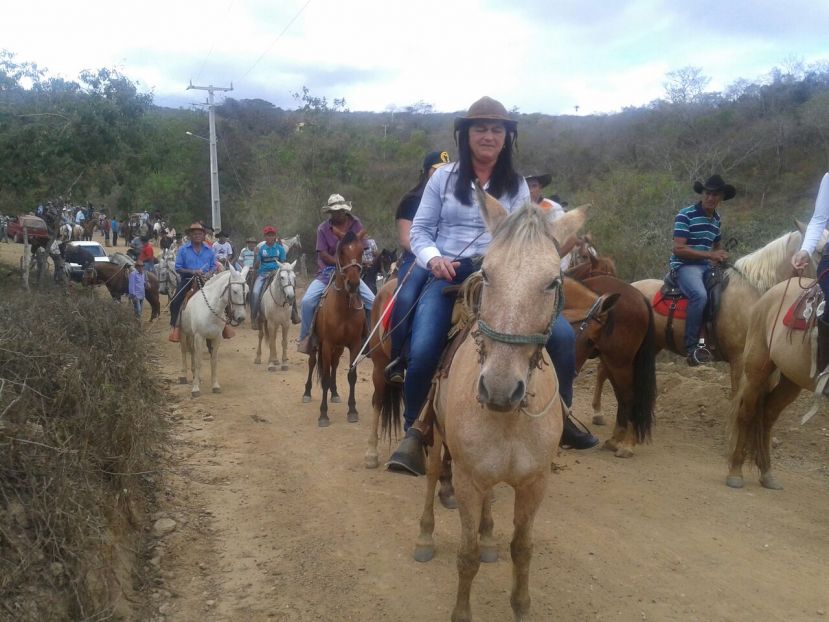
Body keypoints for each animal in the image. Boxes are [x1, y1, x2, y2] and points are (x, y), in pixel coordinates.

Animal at [178, 266, 249, 398]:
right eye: (235, 291)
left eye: (247, 292)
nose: (241, 317)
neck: (210, 309)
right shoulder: (199, 336)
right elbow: (199, 361)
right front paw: (195, 389)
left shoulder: (216, 337)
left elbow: (214, 361)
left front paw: (215, 386)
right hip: (183, 333)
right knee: (184, 351)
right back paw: (184, 376)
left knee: (192, 351)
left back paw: (196, 376)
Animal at [302, 229, 368, 428]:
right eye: (341, 251)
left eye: (362, 251)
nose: (353, 284)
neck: (344, 308)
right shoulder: (327, 344)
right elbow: (323, 378)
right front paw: (323, 415)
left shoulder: (354, 344)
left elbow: (352, 376)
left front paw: (352, 410)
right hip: (317, 344)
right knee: (312, 363)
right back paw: (307, 392)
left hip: (338, 348)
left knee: (334, 364)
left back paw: (335, 392)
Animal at [410, 189, 584, 622]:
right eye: (487, 274)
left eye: (553, 282)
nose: (500, 389)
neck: (509, 420)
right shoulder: (467, 479)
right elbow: (466, 556)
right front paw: (462, 612)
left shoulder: (534, 483)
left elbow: (522, 550)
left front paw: (520, 606)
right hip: (436, 439)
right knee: (432, 475)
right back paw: (424, 536)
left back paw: (489, 535)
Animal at [564, 276, 652, 458]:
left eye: (591, 341)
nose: (573, 372)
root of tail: (641, 298)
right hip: (611, 362)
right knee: (621, 396)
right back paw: (615, 439)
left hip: (619, 362)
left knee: (629, 396)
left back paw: (627, 444)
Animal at [724, 278, 828, 492]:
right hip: (756, 370)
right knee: (747, 414)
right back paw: (736, 472)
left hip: (791, 380)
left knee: (767, 415)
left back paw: (767, 473)